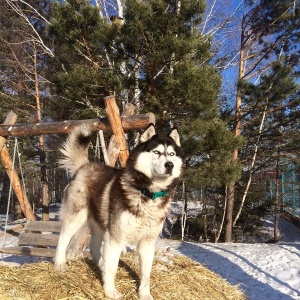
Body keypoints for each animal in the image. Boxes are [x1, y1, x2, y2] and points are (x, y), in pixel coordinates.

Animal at [55, 123, 184, 298]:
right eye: (156, 152)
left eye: (171, 154)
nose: (169, 164)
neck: (148, 194)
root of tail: (85, 165)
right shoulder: (115, 237)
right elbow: (112, 267)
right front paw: (110, 291)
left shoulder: (147, 242)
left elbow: (146, 274)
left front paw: (144, 294)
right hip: (77, 218)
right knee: (63, 238)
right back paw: (60, 264)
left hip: (100, 224)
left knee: (94, 246)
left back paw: (100, 266)